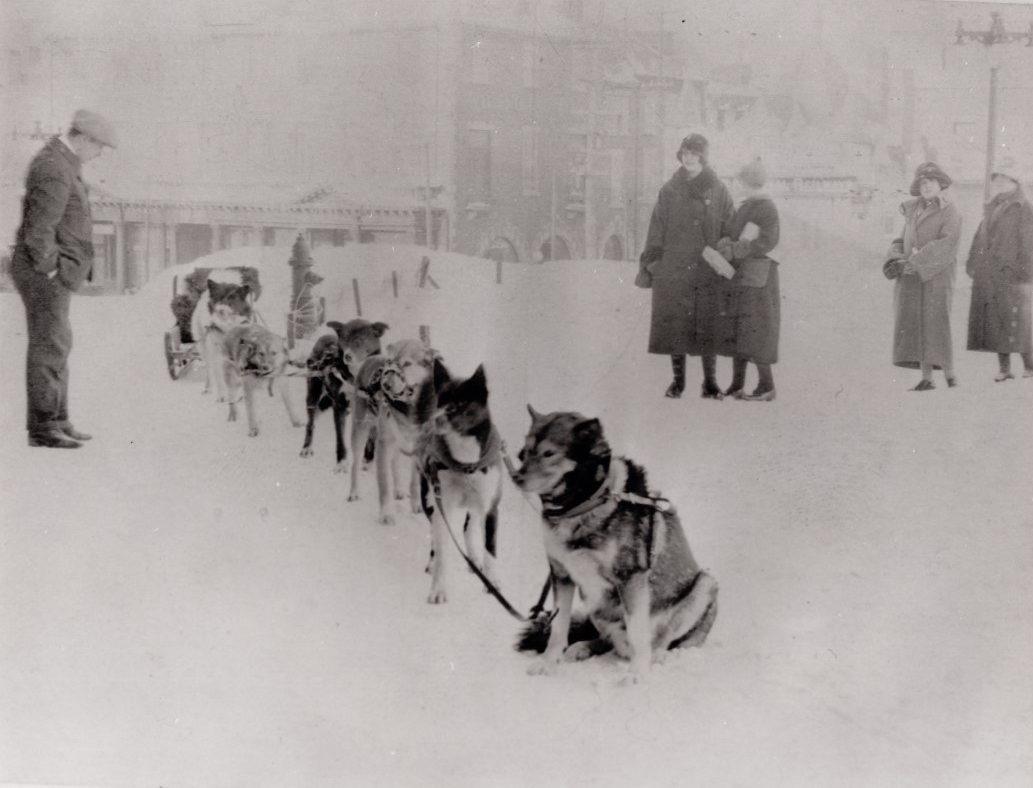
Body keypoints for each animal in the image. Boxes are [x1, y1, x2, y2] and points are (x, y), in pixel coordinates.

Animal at [510, 408, 718, 681]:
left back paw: (656, 656)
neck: (584, 504)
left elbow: (639, 634)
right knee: (610, 642)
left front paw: (638, 673)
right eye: (523, 452)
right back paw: (583, 647)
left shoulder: (631, 578)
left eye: (548, 453)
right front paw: (548, 662)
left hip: (704, 585)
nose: (515, 477)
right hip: (596, 604)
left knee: (662, 640)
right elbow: (558, 627)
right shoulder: (562, 575)